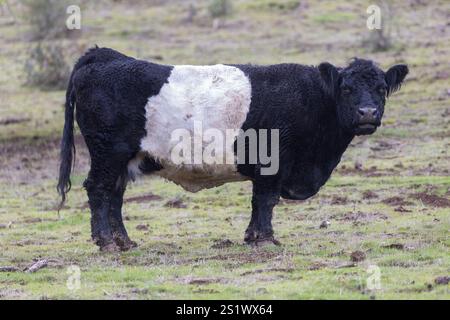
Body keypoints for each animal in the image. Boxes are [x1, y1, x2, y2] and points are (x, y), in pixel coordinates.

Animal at [57, 47, 408, 252]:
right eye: (346, 89)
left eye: (381, 89)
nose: (367, 113)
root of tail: (103, 56)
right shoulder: (273, 163)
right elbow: (265, 200)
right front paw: (265, 240)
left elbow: (258, 203)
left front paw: (252, 237)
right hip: (108, 152)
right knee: (98, 190)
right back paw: (106, 243)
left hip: (123, 158)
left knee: (114, 194)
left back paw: (125, 242)